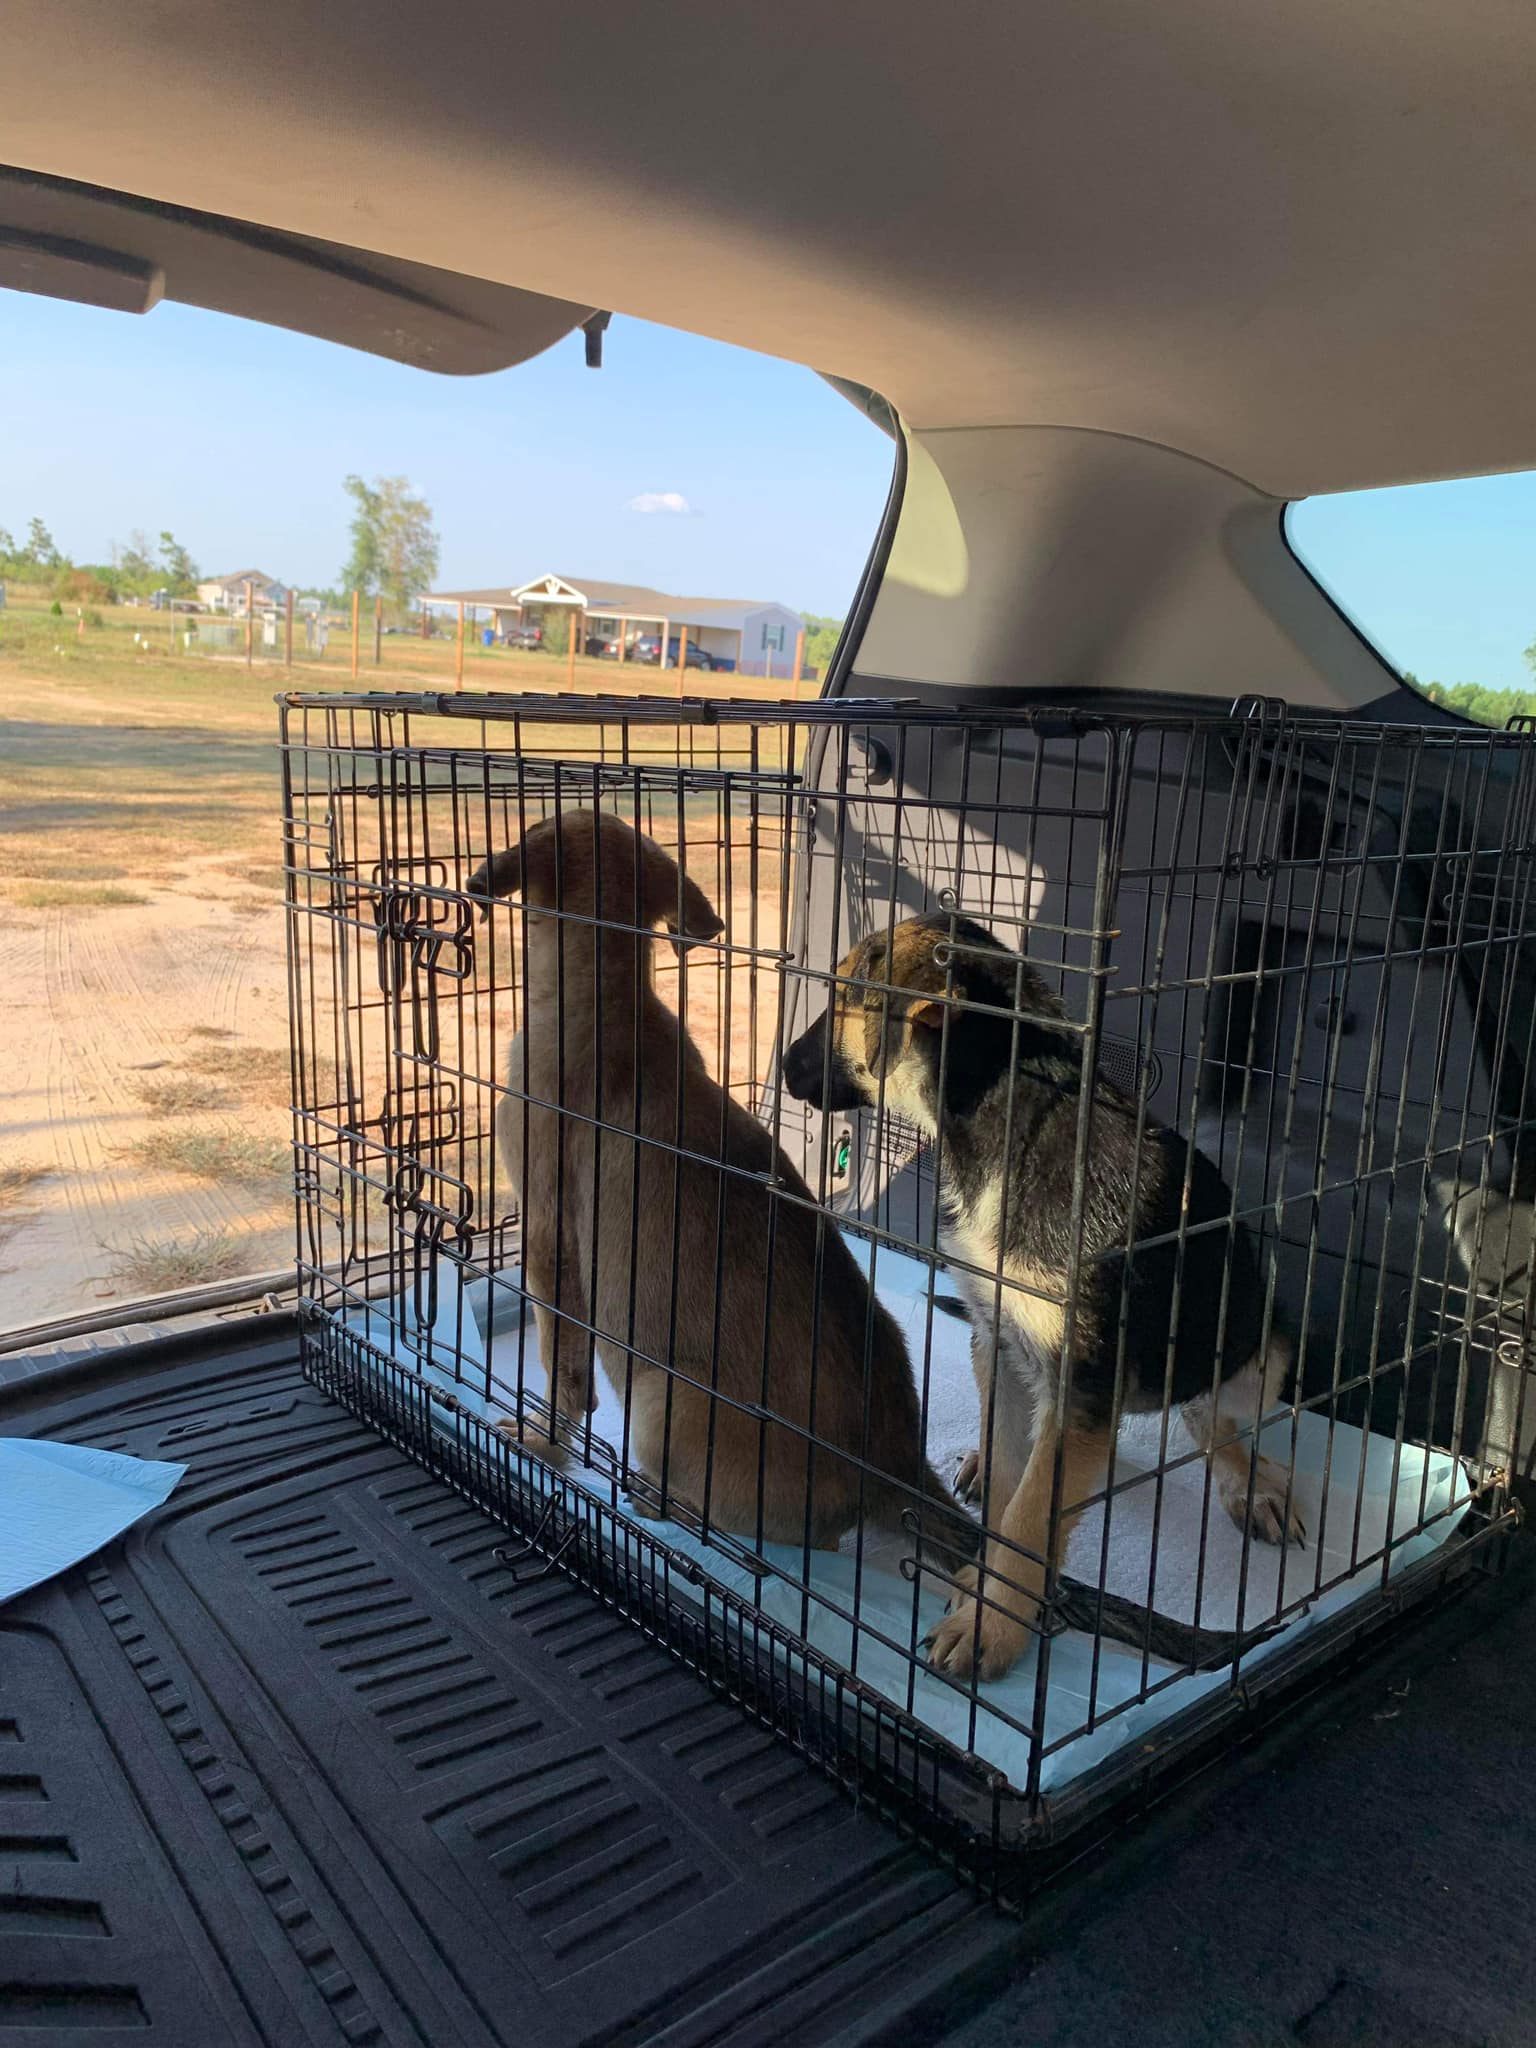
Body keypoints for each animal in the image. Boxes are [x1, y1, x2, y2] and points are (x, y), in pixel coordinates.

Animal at [468, 806, 974, 1556]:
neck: (607, 1001)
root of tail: (892, 1469)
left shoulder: (548, 1241)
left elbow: (564, 1375)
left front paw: (541, 1446)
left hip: (660, 1400)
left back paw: (656, 1500)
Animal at [782, 913, 1302, 1679]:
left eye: (842, 994)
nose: (786, 1068)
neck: (1004, 1127)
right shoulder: (1000, 1338)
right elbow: (1010, 1491)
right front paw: (983, 1581)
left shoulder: (1082, 1375)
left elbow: (1030, 1519)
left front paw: (990, 1626)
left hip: (1263, 1354)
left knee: (1211, 1420)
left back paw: (1255, 1485)